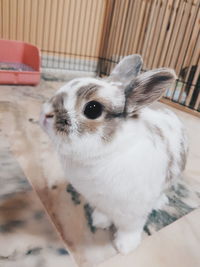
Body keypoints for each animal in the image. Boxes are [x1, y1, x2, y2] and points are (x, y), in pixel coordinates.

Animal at [40, 55, 188, 255]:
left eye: (93, 109)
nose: (45, 114)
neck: (105, 155)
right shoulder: (100, 201)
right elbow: (103, 213)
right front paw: (100, 222)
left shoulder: (134, 212)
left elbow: (129, 229)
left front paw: (125, 247)